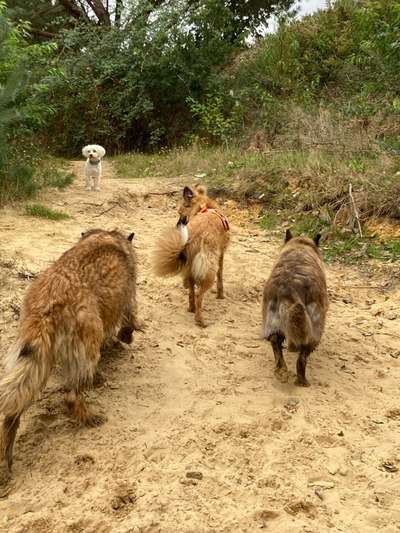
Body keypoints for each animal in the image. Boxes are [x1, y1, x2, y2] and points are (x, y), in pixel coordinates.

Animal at [0, 228, 139, 470]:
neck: (108, 235)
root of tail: (48, 303)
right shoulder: (127, 300)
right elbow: (129, 322)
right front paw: (125, 337)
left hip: (34, 356)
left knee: (15, 406)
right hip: (86, 341)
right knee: (73, 395)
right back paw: (89, 415)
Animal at [262, 231, 328, 384]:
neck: (300, 245)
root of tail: (288, 288)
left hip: (272, 321)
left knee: (275, 343)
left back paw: (281, 371)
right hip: (315, 328)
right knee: (302, 358)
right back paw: (302, 381)